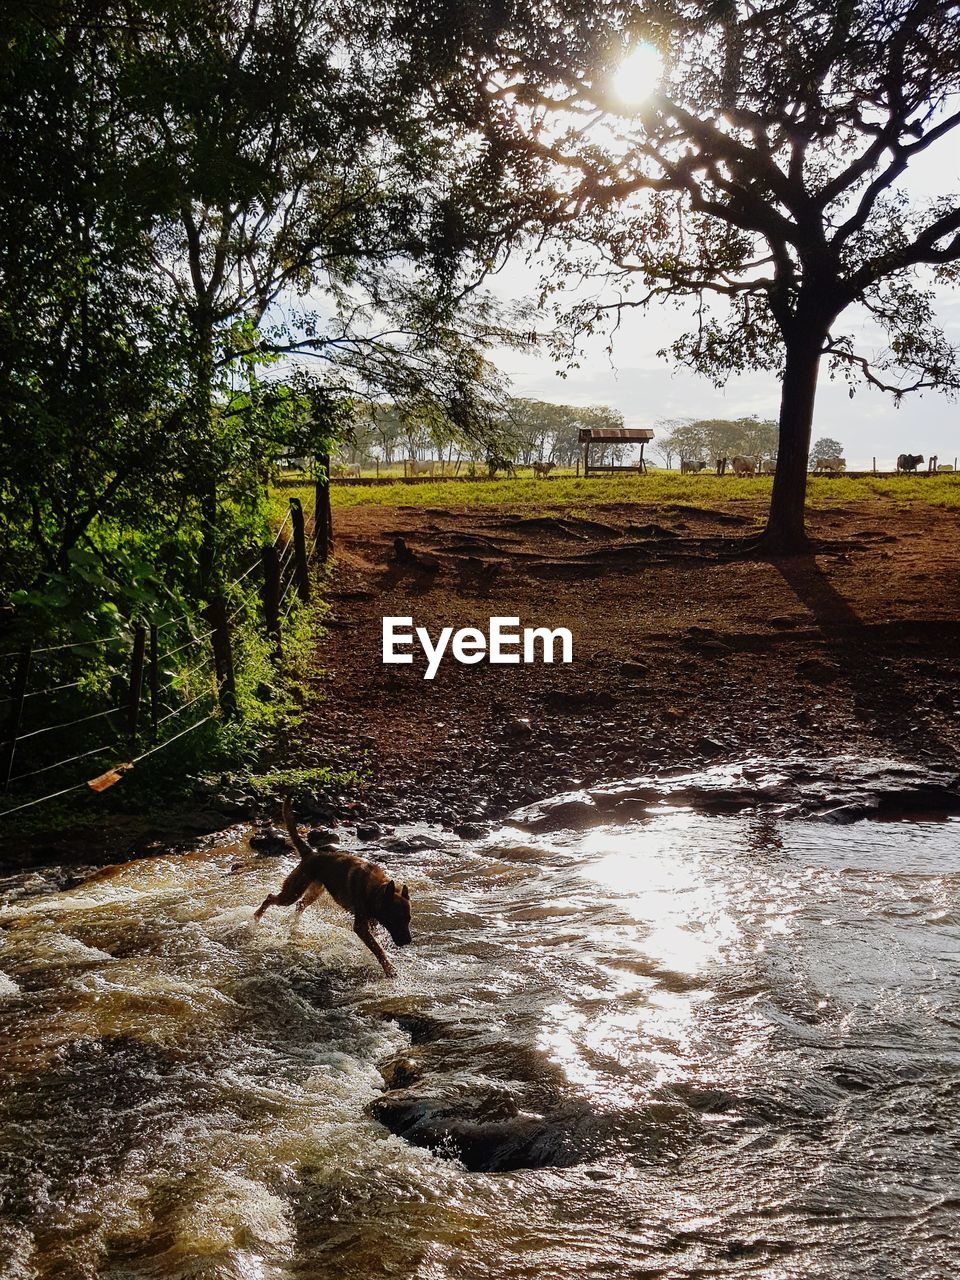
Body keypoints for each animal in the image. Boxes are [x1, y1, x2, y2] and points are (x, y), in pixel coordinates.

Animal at [253, 798, 412, 977]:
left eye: (408, 919)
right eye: (395, 918)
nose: (408, 941)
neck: (376, 890)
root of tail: (310, 853)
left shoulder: (372, 922)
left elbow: (376, 944)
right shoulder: (360, 926)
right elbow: (378, 949)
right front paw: (389, 969)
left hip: (313, 892)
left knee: (299, 905)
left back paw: (293, 925)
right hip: (292, 892)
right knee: (270, 897)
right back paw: (257, 917)